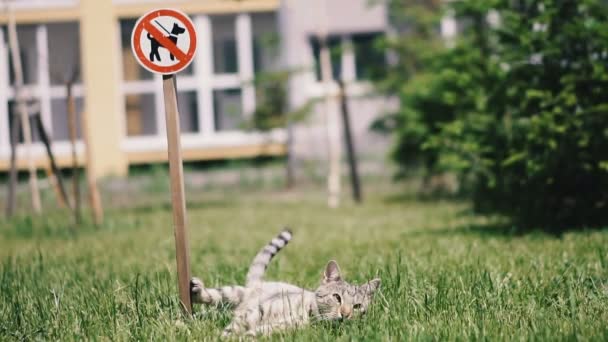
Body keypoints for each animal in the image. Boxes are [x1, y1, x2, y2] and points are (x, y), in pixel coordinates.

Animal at [190, 228, 380, 336]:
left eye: (357, 307)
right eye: (336, 297)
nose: (346, 314)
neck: (307, 313)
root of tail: (258, 283)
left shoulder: (282, 328)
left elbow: (255, 333)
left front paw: (245, 336)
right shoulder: (256, 312)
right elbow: (235, 328)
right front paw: (225, 336)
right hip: (233, 293)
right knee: (212, 298)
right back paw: (197, 291)